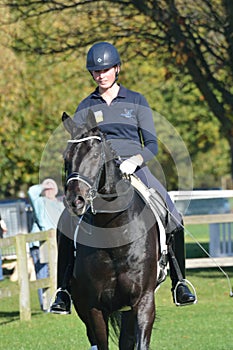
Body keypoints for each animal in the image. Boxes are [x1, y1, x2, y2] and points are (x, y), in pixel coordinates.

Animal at [62, 110, 160, 350]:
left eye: (96, 156)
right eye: (66, 158)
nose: (75, 201)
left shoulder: (143, 301)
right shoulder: (93, 307)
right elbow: (101, 342)